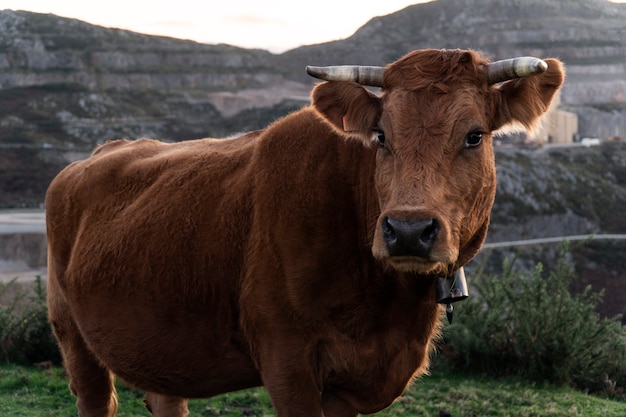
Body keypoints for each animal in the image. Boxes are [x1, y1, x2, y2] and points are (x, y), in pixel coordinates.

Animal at [44, 49, 560, 416]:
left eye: (474, 135)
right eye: (381, 136)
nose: (409, 230)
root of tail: (103, 150)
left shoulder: (348, 384)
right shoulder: (286, 357)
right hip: (72, 334)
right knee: (95, 399)